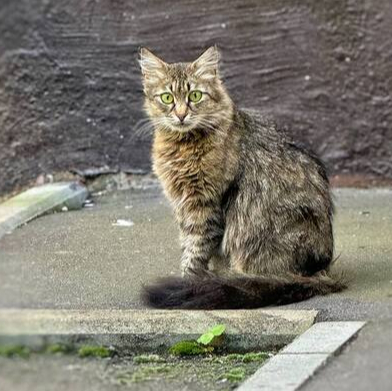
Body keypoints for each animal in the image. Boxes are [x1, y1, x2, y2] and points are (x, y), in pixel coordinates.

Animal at [138, 46, 344, 310]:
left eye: (195, 96)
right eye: (167, 98)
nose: (182, 115)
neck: (183, 145)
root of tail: (319, 269)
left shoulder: (205, 206)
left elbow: (194, 251)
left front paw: (188, 282)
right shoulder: (184, 205)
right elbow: (188, 245)